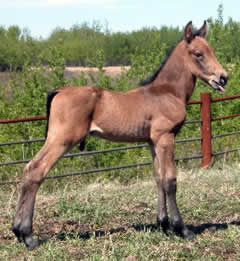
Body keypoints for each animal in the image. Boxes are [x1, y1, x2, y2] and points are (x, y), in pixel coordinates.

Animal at [12, 21, 227, 249]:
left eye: (211, 50)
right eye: (198, 54)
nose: (223, 78)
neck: (166, 92)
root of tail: (59, 91)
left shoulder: (152, 142)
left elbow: (159, 178)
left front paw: (164, 225)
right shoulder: (165, 138)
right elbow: (170, 180)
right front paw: (182, 229)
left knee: (29, 169)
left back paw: (18, 231)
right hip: (61, 140)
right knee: (37, 170)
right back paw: (28, 236)